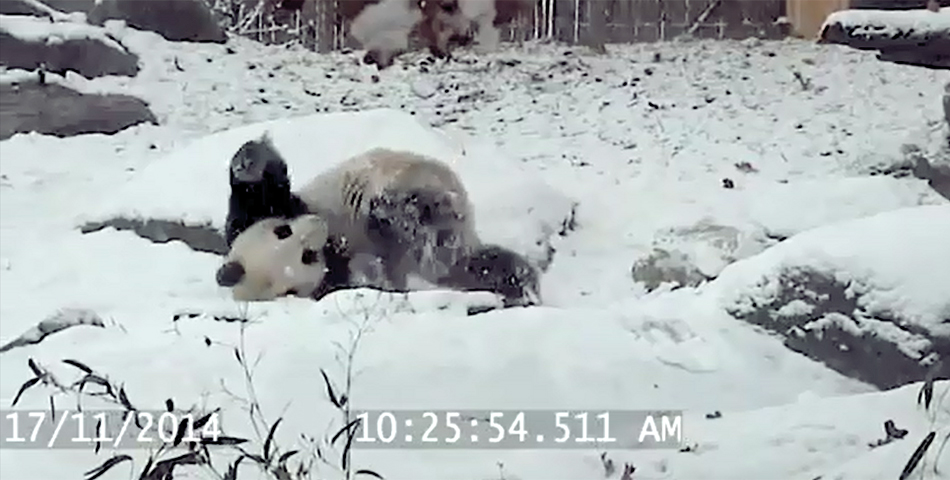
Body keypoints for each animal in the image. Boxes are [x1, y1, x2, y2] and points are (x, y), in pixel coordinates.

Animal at [217, 131, 544, 308]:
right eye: (306, 256)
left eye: (282, 231)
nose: (318, 229)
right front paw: (370, 272)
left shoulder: (275, 210)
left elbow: (262, 197)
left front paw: (251, 159)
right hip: (442, 243)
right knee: (470, 264)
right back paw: (517, 283)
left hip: (411, 184)